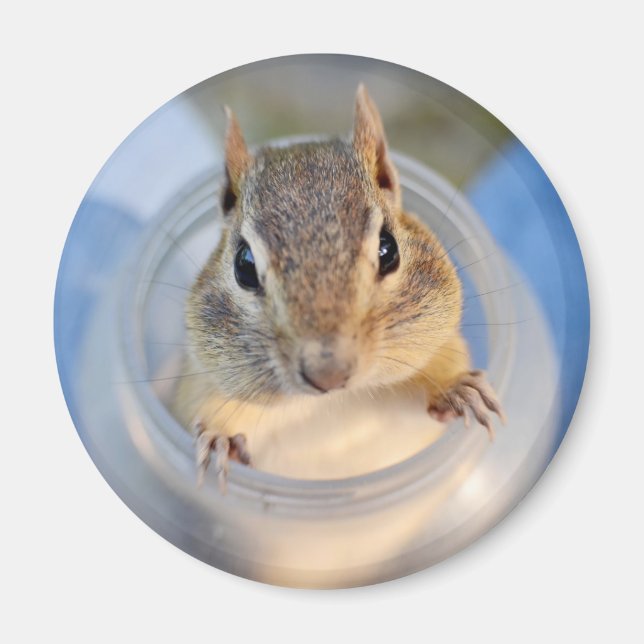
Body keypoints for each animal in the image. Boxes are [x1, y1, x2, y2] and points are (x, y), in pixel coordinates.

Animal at [172, 85, 505, 491]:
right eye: (244, 266)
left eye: (388, 249)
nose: (327, 374)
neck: (329, 405)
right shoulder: (201, 385)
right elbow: (204, 410)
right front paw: (219, 439)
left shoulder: (437, 350)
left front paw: (461, 390)